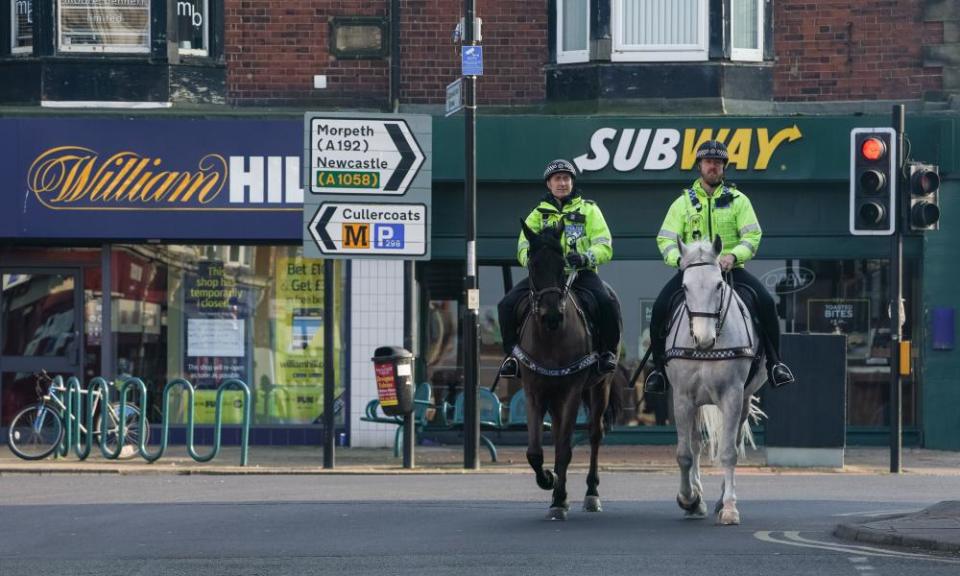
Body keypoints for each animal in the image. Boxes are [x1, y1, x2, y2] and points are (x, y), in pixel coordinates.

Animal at [516, 219, 624, 516]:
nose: (552, 316)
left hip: (600, 387)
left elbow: (565, 448)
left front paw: (558, 495)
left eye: (563, 263)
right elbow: (535, 451)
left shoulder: (572, 392)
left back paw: (591, 493)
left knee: (595, 433)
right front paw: (548, 480)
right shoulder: (533, 392)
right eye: (532, 265)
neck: (551, 338)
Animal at [668, 235, 764, 528]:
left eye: (719, 284)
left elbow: (729, 452)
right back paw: (696, 498)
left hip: (743, 400)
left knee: (732, 442)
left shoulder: (732, 395)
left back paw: (722, 500)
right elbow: (685, 453)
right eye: (684, 286)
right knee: (695, 443)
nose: (704, 339)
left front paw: (730, 508)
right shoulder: (682, 398)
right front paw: (688, 498)